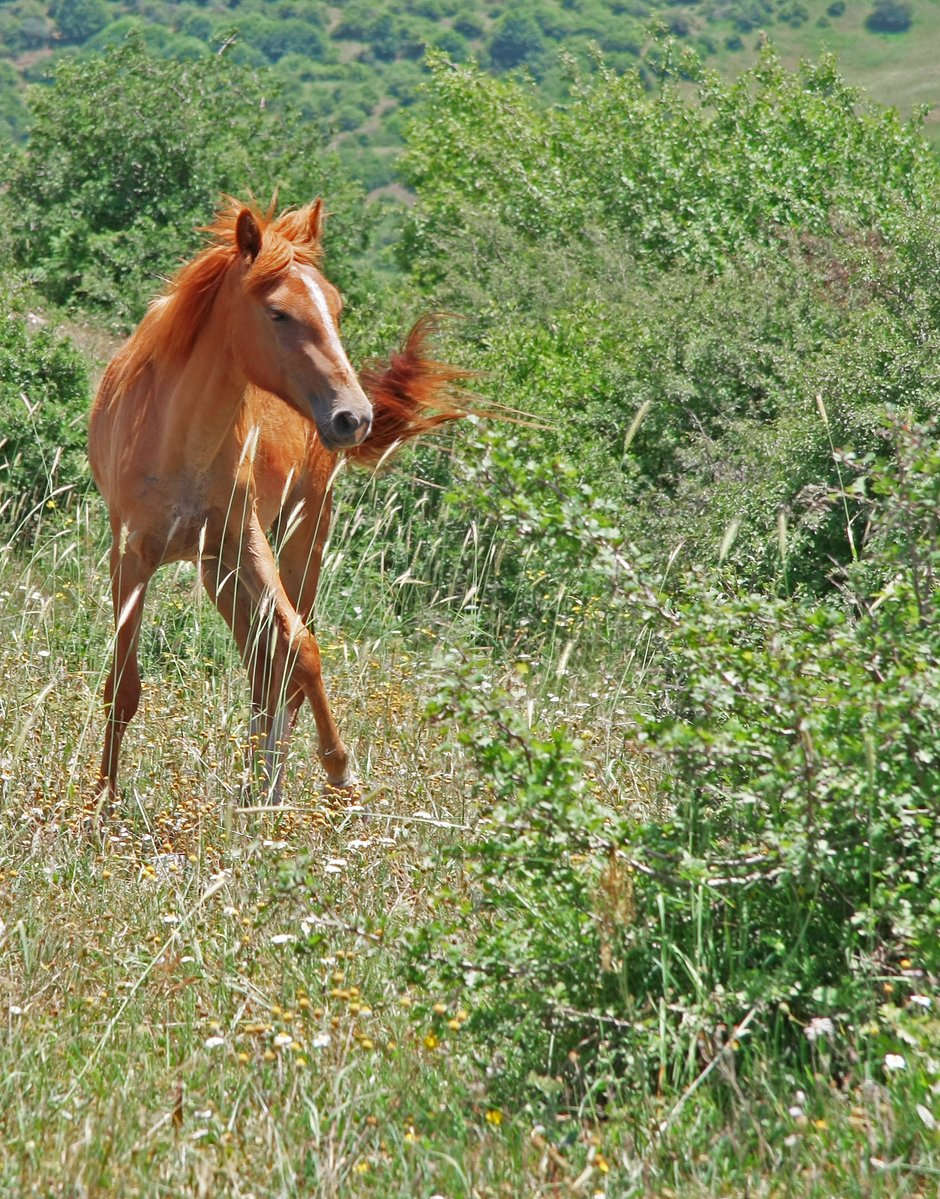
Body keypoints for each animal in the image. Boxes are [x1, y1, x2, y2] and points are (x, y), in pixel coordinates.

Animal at [89, 199, 465, 805]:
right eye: (278, 313)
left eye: (335, 307)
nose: (352, 417)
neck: (178, 438)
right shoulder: (131, 558)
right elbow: (123, 689)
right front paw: (102, 803)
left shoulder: (245, 541)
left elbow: (302, 650)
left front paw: (339, 770)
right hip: (216, 569)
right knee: (258, 665)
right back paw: (254, 787)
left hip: (297, 540)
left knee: (274, 668)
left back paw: (265, 788)